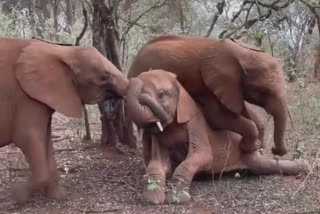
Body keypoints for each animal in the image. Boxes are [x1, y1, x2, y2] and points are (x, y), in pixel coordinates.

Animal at [125, 69, 310, 205]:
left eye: (162, 94)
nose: (135, 80)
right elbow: (157, 164)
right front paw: (152, 200)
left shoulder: (196, 123)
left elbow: (202, 156)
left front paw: (177, 200)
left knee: (266, 165)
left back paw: (305, 167)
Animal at [129, 34, 288, 156]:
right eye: (263, 91)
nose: (275, 150)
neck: (242, 53)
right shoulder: (213, 83)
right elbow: (217, 117)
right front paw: (250, 148)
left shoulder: (232, 88)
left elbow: (244, 111)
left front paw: (259, 148)